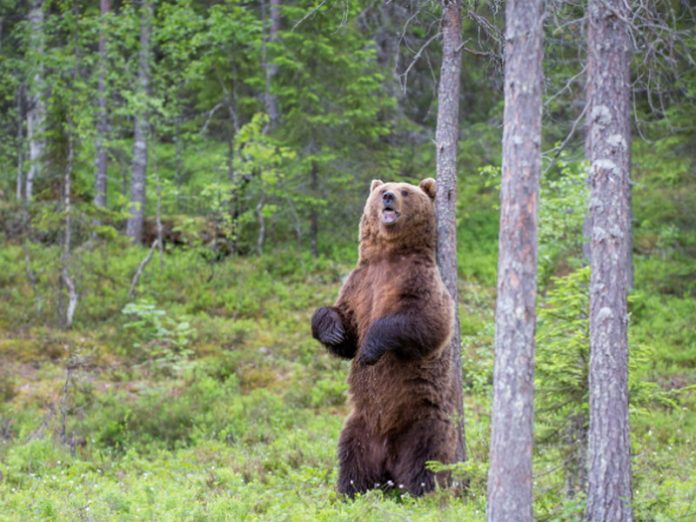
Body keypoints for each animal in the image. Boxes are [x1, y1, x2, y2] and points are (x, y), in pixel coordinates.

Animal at [312, 178, 456, 496]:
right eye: (382, 190)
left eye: (406, 191)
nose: (388, 196)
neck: (389, 256)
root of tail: (388, 461)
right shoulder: (359, 284)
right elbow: (345, 329)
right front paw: (333, 329)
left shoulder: (419, 281)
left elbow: (428, 322)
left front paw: (369, 348)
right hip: (360, 425)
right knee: (352, 458)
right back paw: (350, 491)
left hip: (421, 421)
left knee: (425, 458)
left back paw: (420, 492)